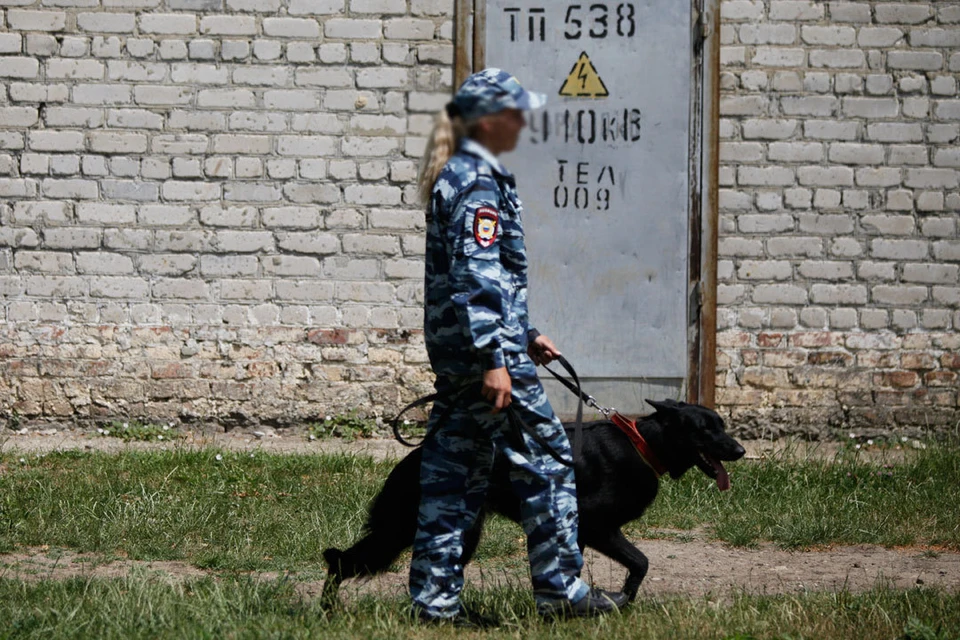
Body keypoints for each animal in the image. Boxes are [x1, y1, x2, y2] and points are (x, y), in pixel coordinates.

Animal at [320, 400, 744, 604]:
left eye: (722, 425)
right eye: (705, 430)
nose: (740, 450)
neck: (644, 445)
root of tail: (415, 456)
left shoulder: (581, 533)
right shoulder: (597, 526)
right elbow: (640, 562)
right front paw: (621, 599)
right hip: (410, 528)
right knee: (342, 562)